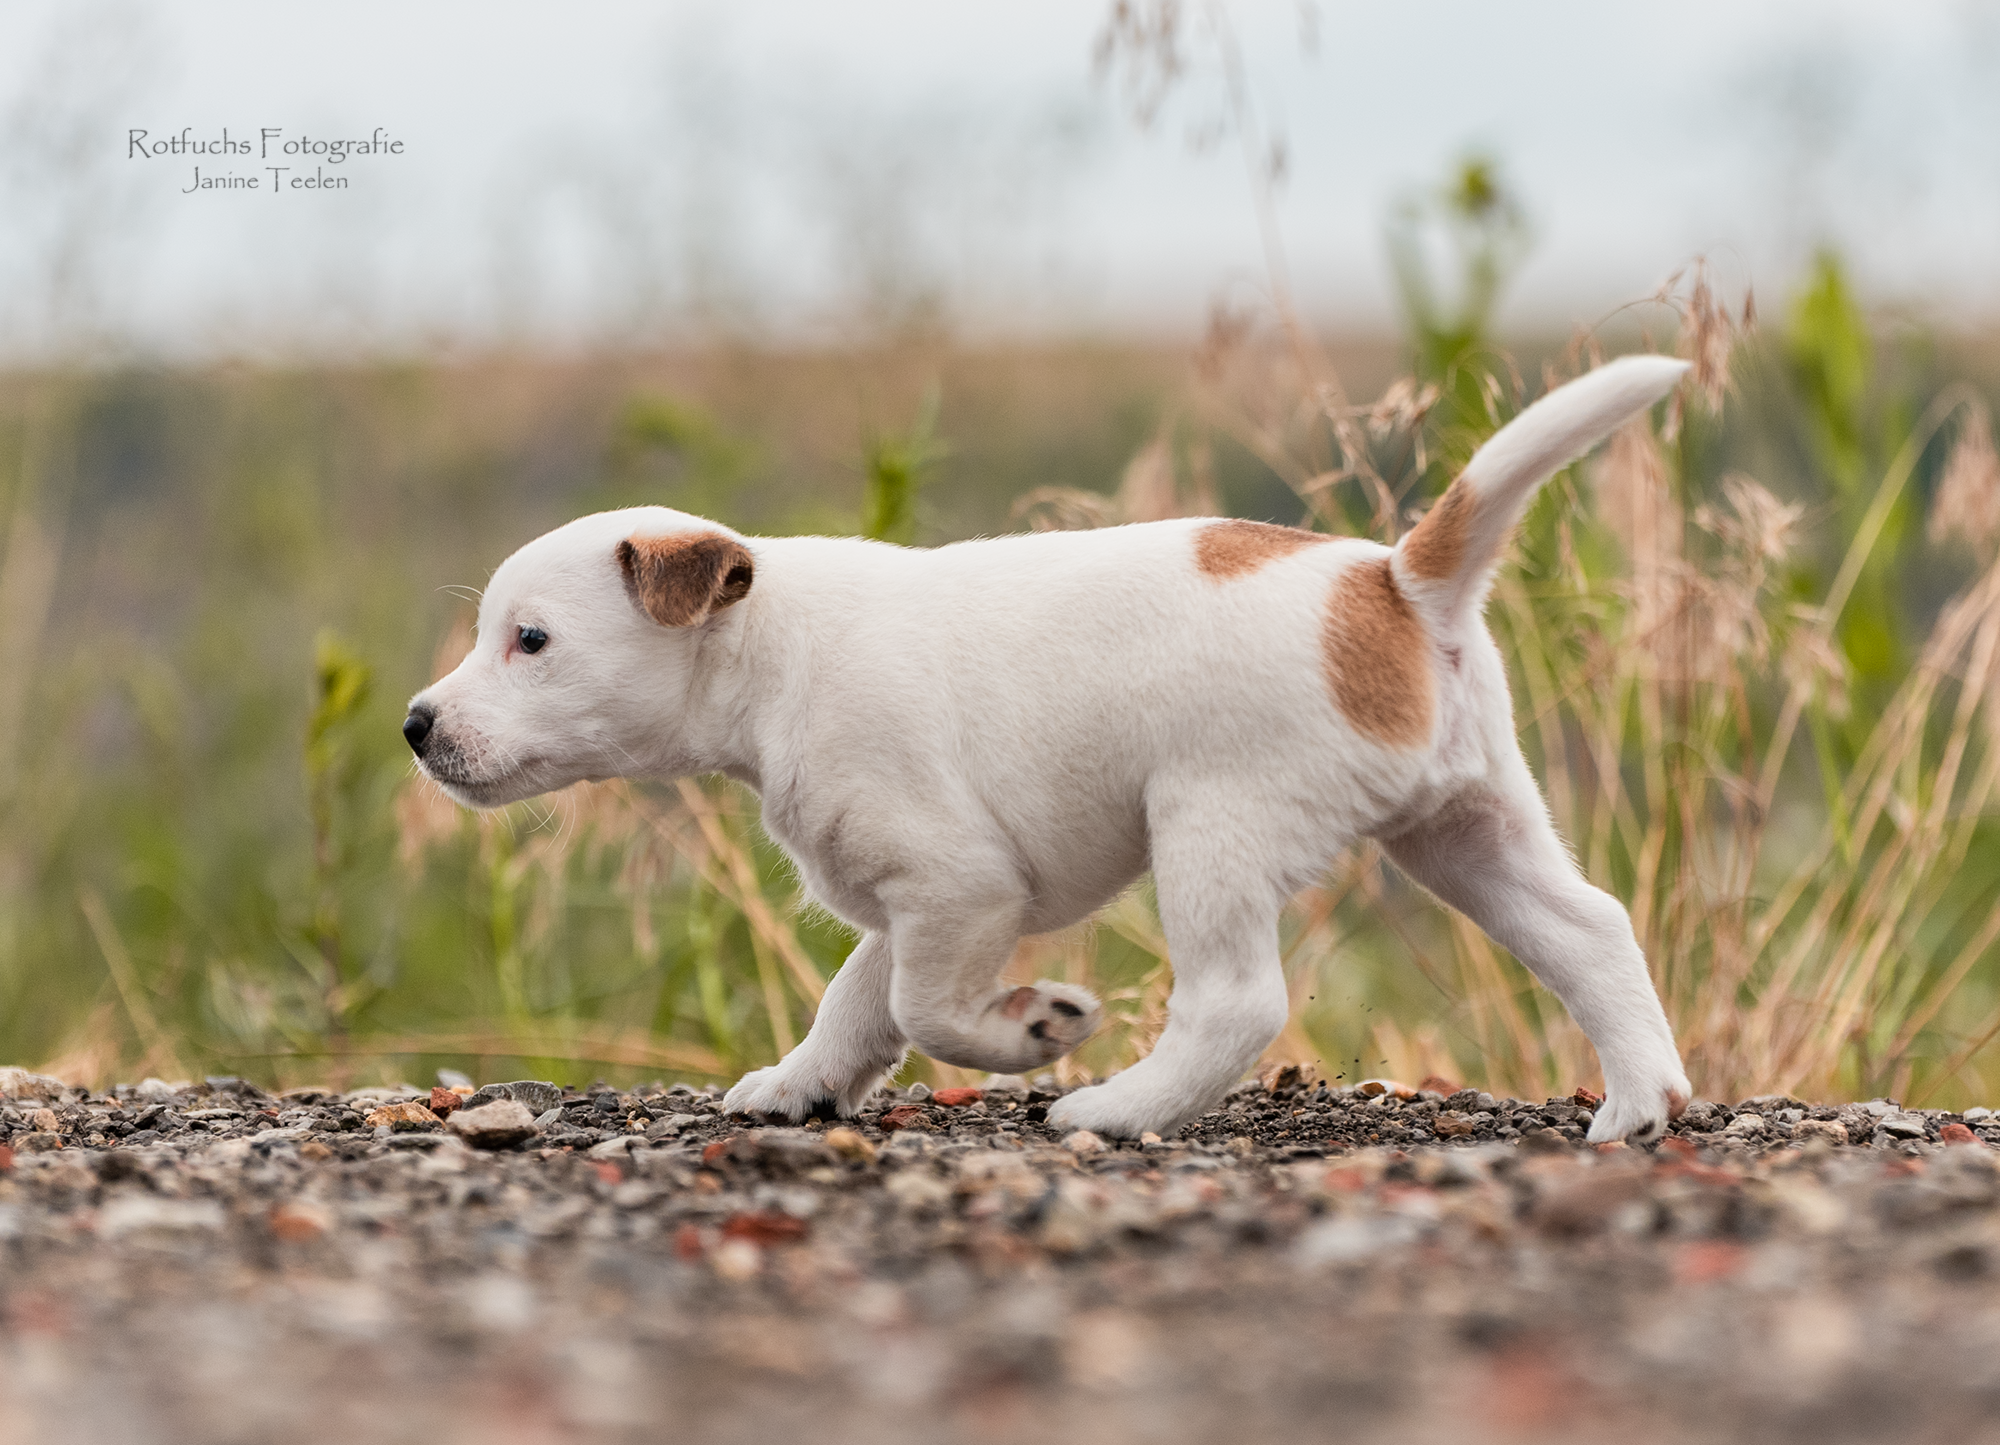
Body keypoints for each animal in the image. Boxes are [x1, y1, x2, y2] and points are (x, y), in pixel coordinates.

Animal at [406, 352, 1688, 1136]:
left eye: (530, 639)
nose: (416, 726)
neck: (769, 647)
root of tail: (1394, 583)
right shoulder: (916, 899)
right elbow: (857, 1003)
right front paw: (796, 1084)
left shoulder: (957, 886)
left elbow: (923, 1009)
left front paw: (1030, 1029)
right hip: (1468, 830)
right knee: (1592, 930)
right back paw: (1640, 1101)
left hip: (1211, 829)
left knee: (1235, 1001)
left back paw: (1113, 1110)